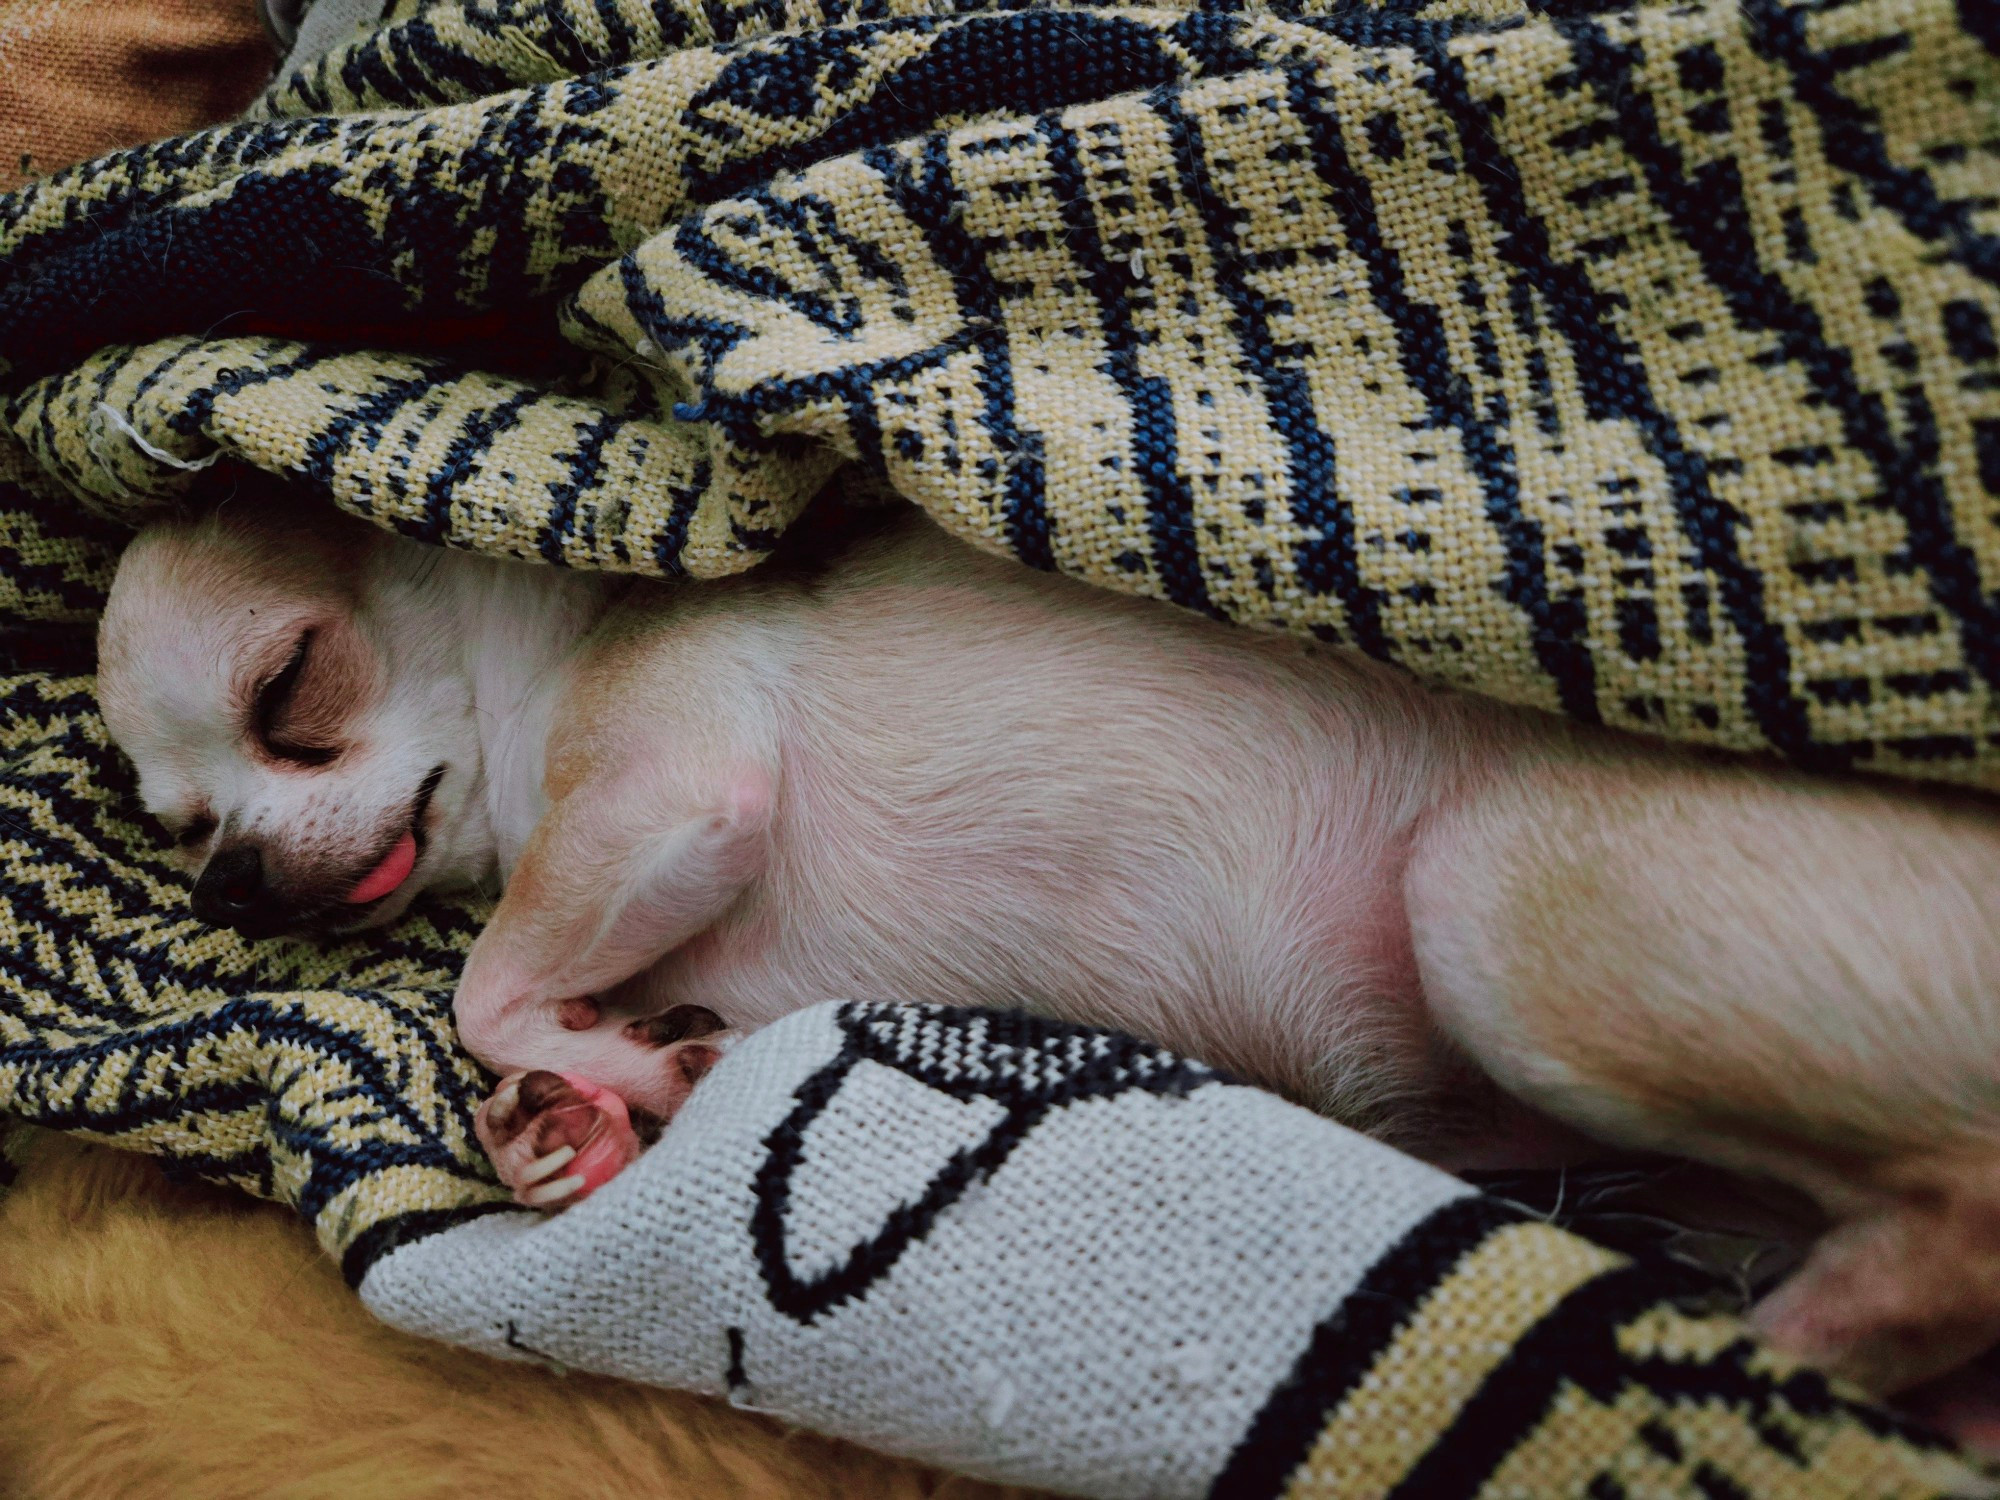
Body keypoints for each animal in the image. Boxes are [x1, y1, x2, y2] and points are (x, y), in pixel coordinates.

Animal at [94, 500, 2000, 1416]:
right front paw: (568, 1131)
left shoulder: (661, 794)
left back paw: (1778, 1349)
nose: (245, 882)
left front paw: (606, 1069)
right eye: (180, 829)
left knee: (1960, 1220)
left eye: (294, 693)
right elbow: (536, 1034)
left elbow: (491, 976)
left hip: (1497, 919)